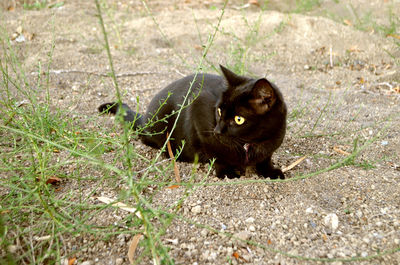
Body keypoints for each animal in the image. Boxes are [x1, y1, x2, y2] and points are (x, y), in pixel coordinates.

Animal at [100, 65, 288, 178]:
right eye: (219, 111)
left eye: (238, 119)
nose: (217, 131)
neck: (250, 143)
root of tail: (147, 118)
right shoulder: (199, 109)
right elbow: (217, 154)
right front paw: (227, 171)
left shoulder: (273, 139)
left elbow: (265, 158)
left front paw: (270, 171)